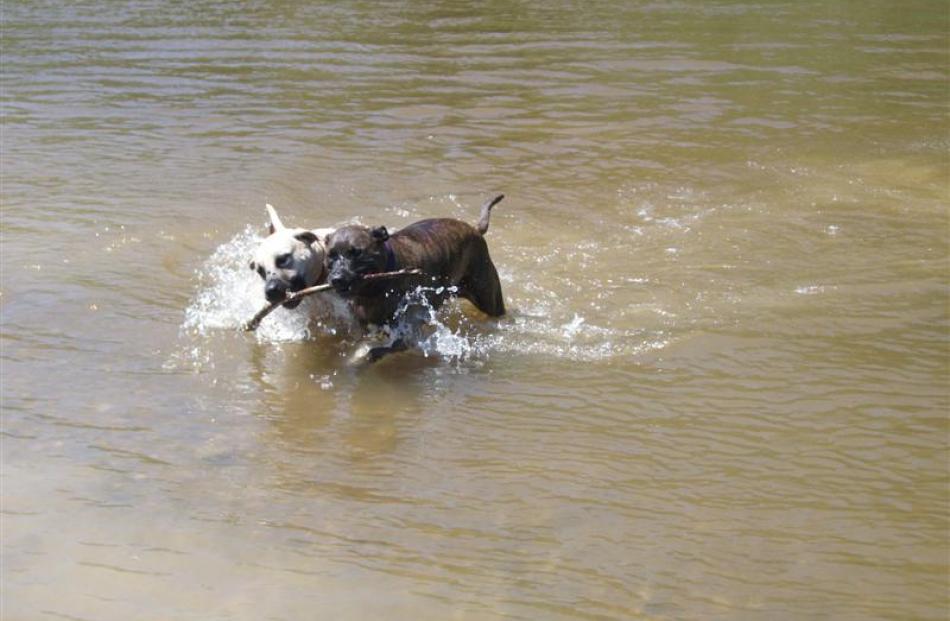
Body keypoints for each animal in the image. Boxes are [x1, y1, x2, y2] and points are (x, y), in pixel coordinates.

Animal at [328, 191, 506, 360]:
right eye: (331, 255)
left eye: (357, 253)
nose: (336, 279)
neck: (377, 287)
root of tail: (475, 229)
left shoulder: (409, 326)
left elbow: (394, 345)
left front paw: (369, 354)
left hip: (489, 298)